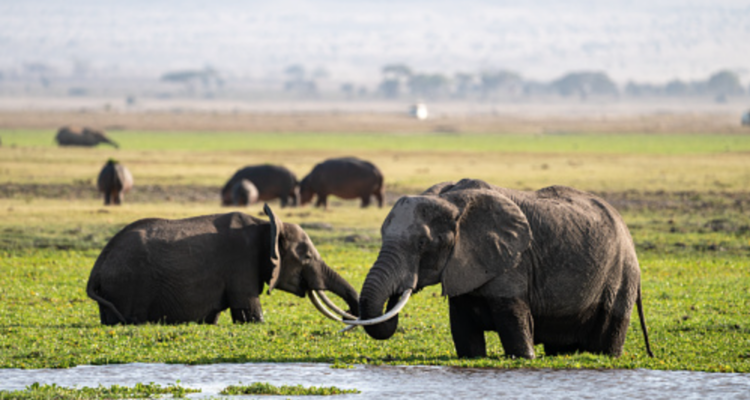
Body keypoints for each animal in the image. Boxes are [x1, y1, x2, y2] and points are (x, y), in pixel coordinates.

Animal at [87, 205, 358, 324]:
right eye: (307, 257)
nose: (351, 314)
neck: (266, 225)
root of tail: (97, 267)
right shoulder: (241, 264)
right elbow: (250, 314)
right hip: (128, 285)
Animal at [346, 178, 652, 360]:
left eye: (422, 243)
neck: (451, 199)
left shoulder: (513, 261)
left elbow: (513, 318)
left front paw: (526, 358)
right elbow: (463, 328)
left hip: (621, 275)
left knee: (609, 333)